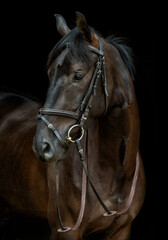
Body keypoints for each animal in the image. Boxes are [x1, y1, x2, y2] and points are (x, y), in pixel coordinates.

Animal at [32, 12, 146, 239]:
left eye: (78, 75)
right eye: (50, 74)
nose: (42, 146)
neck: (115, 168)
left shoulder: (122, 230)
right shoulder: (66, 231)